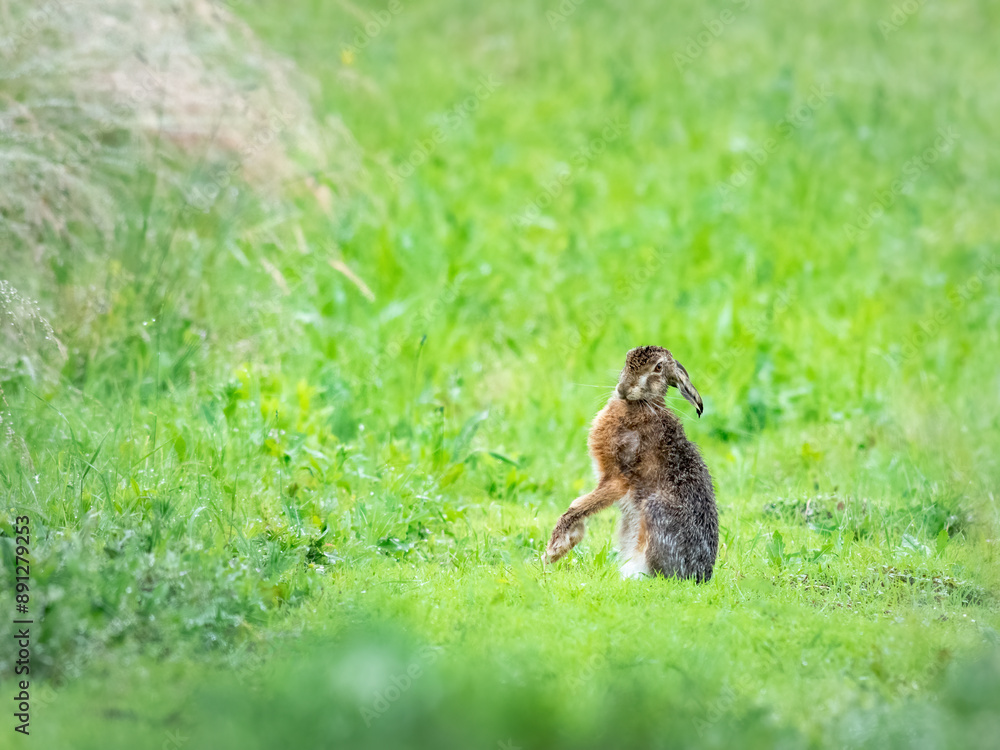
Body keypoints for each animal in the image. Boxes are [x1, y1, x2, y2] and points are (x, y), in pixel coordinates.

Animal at [543, 346, 718, 582]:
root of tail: (700, 576)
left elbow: (578, 504)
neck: (641, 405)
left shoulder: (617, 479)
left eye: (658, 367)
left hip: (655, 510)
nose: (623, 389)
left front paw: (554, 550)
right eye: (627, 360)